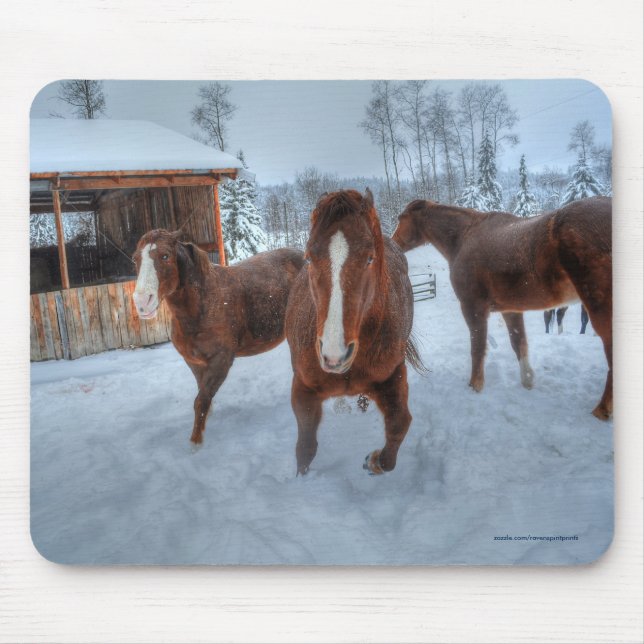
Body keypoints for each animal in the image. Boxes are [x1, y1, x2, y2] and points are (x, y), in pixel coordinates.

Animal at [133, 229, 305, 447]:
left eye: (165, 256)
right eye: (135, 259)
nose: (142, 302)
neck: (204, 305)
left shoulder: (221, 361)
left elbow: (201, 400)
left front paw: (195, 442)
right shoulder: (194, 362)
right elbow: (202, 394)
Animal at [285, 189, 423, 475]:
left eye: (370, 258)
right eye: (308, 257)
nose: (334, 355)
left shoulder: (393, 375)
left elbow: (399, 425)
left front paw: (375, 462)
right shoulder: (302, 388)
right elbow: (305, 447)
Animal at [392, 196, 612, 420]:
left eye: (401, 218)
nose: (393, 243)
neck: (464, 237)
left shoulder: (473, 308)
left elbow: (477, 348)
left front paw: (475, 386)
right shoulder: (510, 310)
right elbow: (519, 343)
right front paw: (527, 381)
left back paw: (601, 411)